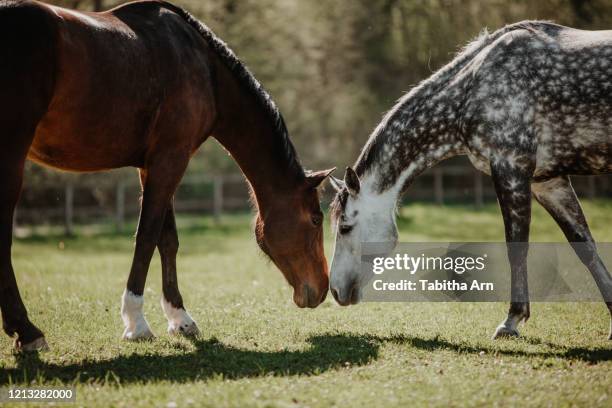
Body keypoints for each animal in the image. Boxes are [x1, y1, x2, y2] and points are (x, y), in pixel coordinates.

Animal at [0, 0, 334, 350]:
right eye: (316, 218)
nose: (323, 288)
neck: (205, 69)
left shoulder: (155, 164)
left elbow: (167, 239)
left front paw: (180, 318)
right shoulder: (170, 160)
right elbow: (147, 237)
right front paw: (136, 322)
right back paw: (27, 330)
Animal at [330, 20, 612, 340]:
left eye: (345, 227)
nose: (335, 291)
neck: (472, 89)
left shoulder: (511, 169)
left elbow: (517, 247)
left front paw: (512, 320)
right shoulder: (548, 182)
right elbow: (585, 246)